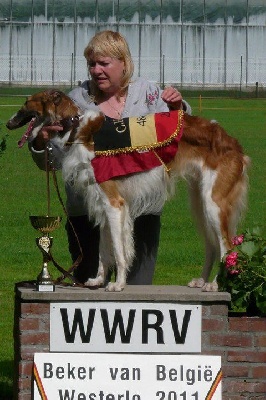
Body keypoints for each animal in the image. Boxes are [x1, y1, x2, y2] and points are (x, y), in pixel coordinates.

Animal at [6, 89, 249, 292]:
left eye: (27, 102)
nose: (8, 123)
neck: (75, 128)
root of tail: (234, 143)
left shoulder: (114, 204)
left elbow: (119, 251)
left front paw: (118, 284)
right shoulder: (103, 205)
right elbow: (104, 252)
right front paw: (98, 280)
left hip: (214, 204)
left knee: (227, 246)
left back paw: (216, 284)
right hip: (200, 204)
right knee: (212, 246)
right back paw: (202, 281)